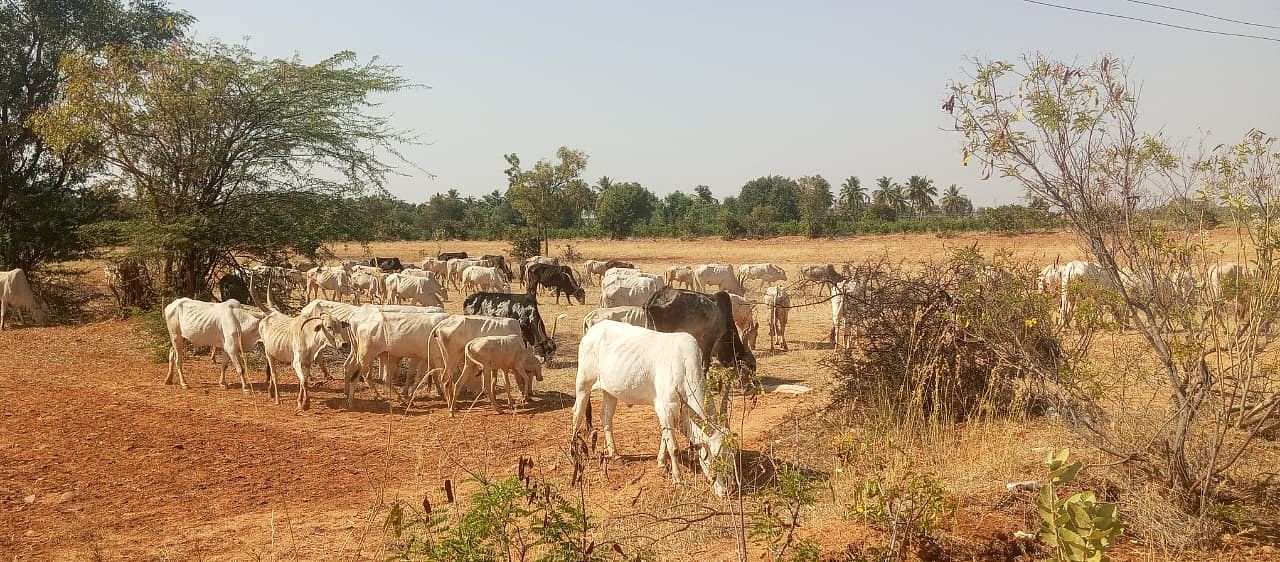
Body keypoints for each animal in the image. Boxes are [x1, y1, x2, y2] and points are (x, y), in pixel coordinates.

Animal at [576, 321, 737, 496]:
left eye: (732, 456)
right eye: (715, 457)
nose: (727, 490)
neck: (684, 365)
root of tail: (593, 329)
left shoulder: (678, 414)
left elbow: (664, 438)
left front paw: (661, 464)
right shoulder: (665, 409)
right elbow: (673, 447)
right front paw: (678, 481)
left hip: (610, 391)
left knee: (606, 417)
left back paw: (615, 455)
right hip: (583, 385)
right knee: (577, 415)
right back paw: (575, 453)